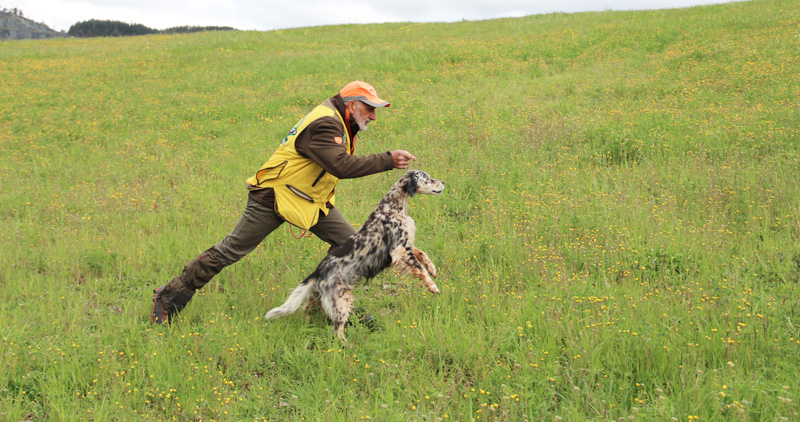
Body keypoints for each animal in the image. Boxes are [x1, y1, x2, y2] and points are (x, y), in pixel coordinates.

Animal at [268, 170, 444, 342]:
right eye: (428, 178)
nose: (443, 182)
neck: (392, 208)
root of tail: (318, 271)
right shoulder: (400, 249)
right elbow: (420, 269)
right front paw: (433, 287)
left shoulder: (406, 246)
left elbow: (423, 255)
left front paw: (433, 269)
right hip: (341, 300)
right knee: (337, 331)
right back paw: (346, 346)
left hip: (318, 297)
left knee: (307, 310)